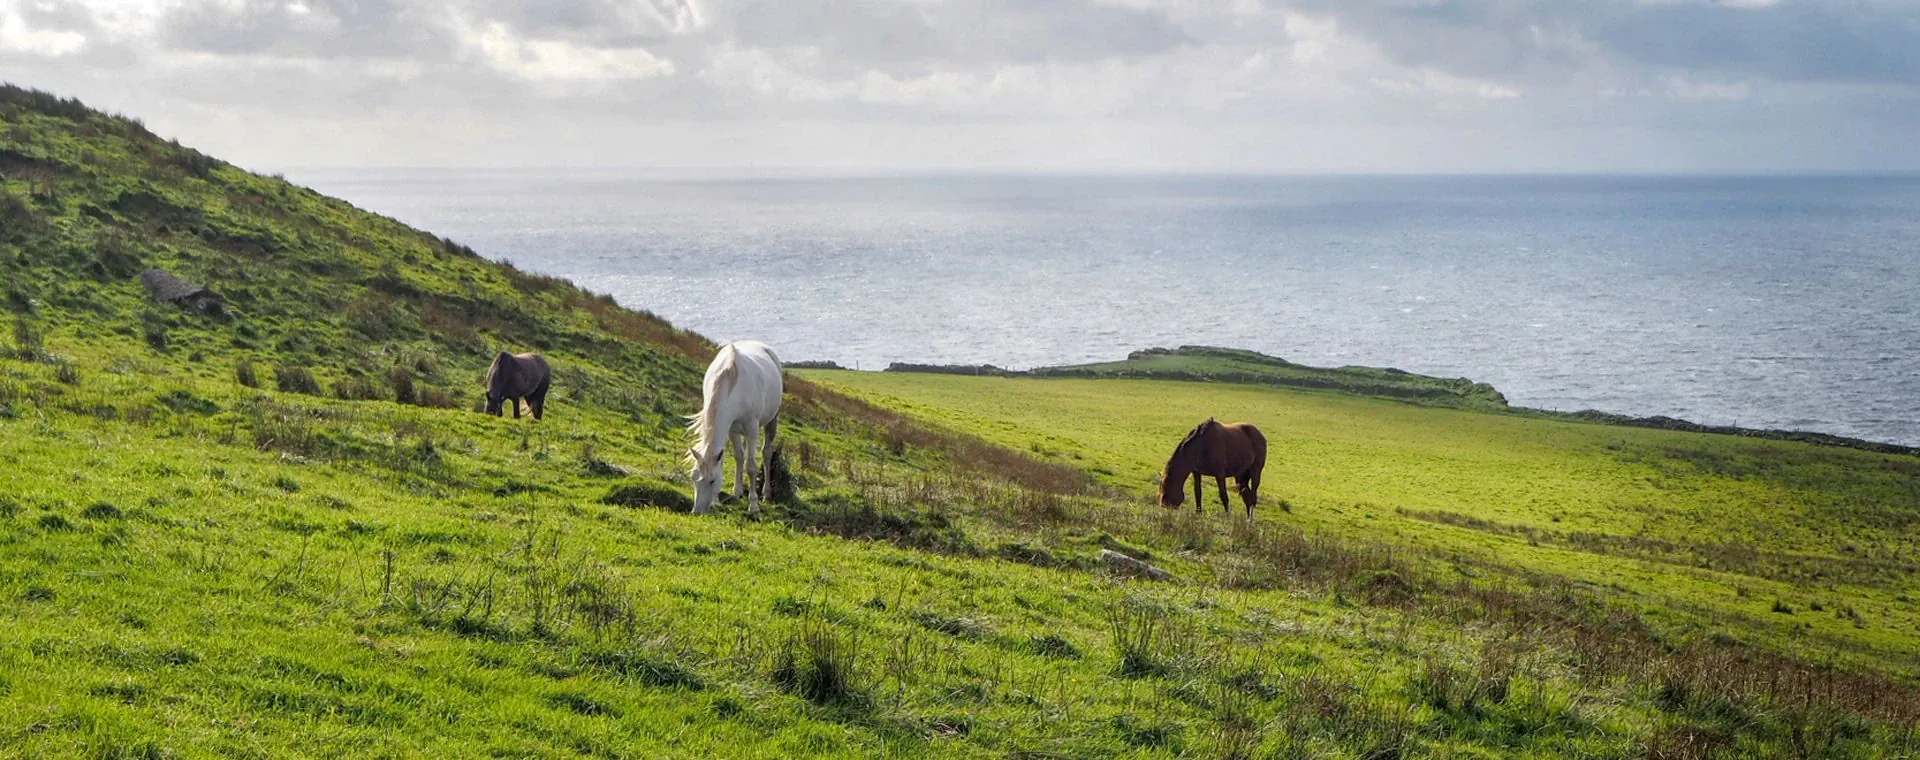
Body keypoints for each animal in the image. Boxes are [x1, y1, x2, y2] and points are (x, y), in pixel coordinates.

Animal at [686, 341, 784, 515]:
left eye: (712, 481)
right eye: (693, 478)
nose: (697, 512)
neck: (730, 380)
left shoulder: (752, 428)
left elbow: (751, 467)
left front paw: (754, 506)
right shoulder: (731, 429)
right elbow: (735, 457)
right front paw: (721, 499)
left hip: (771, 420)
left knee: (766, 453)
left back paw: (766, 494)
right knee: (741, 456)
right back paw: (738, 492)